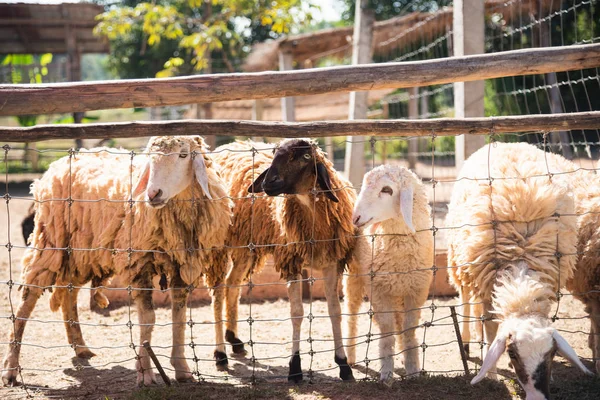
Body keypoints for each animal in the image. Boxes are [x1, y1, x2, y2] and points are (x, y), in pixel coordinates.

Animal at [1, 135, 232, 388]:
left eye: (183, 155)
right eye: (150, 159)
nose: (153, 193)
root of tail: (56, 164)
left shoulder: (181, 264)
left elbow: (178, 317)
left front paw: (182, 369)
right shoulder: (139, 263)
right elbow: (148, 319)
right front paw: (145, 373)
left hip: (80, 252)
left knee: (70, 293)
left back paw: (80, 347)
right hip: (51, 240)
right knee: (27, 298)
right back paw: (11, 369)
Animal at [213, 139, 364, 382]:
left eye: (305, 157)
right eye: (275, 154)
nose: (268, 182)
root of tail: (222, 150)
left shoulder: (332, 263)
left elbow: (335, 311)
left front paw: (343, 365)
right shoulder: (291, 261)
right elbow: (296, 313)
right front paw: (295, 367)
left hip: (246, 248)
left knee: (231, 284)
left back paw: (234, 339)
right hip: (218, 243)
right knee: (218, 291)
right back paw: (220, 354)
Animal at [344, 164, 434, 382]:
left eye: (387, 190)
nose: (355, 218)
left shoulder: (416, 291)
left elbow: (409, 329)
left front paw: (413, 369)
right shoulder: (379, 290)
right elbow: (386, 329)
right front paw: (386, 372)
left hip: (398, 290)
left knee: (399, 321)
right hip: (354, 277)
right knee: (351, 315)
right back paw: (350, 356)